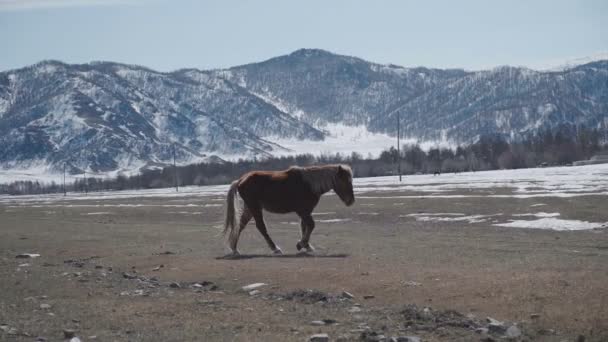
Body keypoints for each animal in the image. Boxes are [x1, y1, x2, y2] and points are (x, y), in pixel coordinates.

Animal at [223, 164, 356, 256]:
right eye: (344, 181)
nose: (351, 201)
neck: (309, 184)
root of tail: (240, 180)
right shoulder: (303, 211)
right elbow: (311, 225)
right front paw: (301, 244)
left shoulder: (305, 212)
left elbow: (305, 226)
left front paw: (307, 246)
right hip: (254, 208)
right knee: (261, 227)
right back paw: (275, 249)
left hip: (250, 208)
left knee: (240, 225)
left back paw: (234, 249)